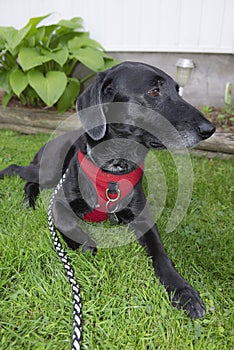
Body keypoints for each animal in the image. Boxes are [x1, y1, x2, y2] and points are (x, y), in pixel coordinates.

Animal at [0, 61, 216, 318]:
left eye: (178, 91)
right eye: (154, 91)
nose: (209, 129)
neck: (114, 166)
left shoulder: (143, 217)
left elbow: (161, 254)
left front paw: (183, 291)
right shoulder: (59, 205)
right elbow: (71, 227)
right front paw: (85, 245)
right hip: (50, 171)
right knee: (21, 174)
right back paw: (27, 201)